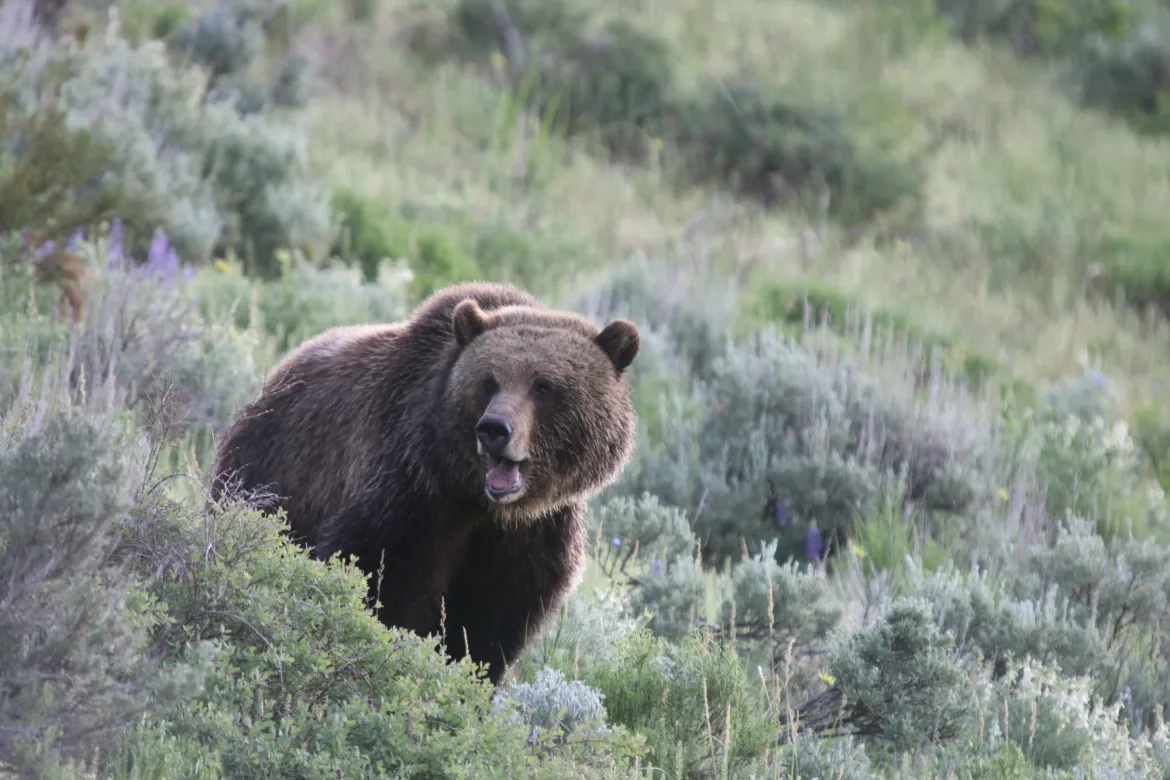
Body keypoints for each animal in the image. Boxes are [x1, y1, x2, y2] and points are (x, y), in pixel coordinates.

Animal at [209, 281, 641, 685]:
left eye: (544, 386)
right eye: (489, 381)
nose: (494, 429)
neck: (477, 501)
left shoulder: (531, 537)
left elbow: (491, 627)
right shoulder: (410, 495)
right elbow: (376, 582)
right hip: (268, 473)